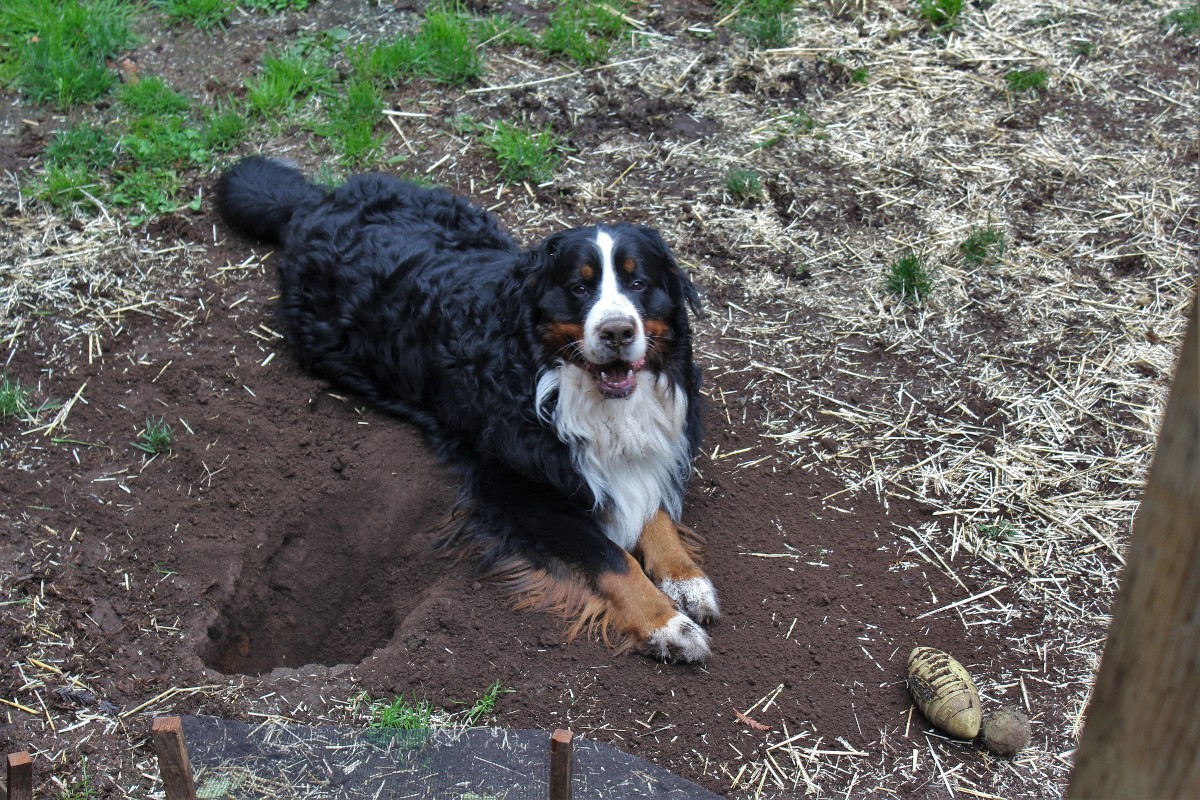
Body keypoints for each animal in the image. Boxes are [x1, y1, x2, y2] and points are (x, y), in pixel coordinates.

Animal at [216, 158, 715, 662]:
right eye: (578, 287)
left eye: (638, 283)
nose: (617, 331)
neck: (566, 388)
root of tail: (314, 201)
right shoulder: (516, 487)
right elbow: (611, 558)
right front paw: (666, 623)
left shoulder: (639, 453)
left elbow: (654, 514)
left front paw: (686, 580)